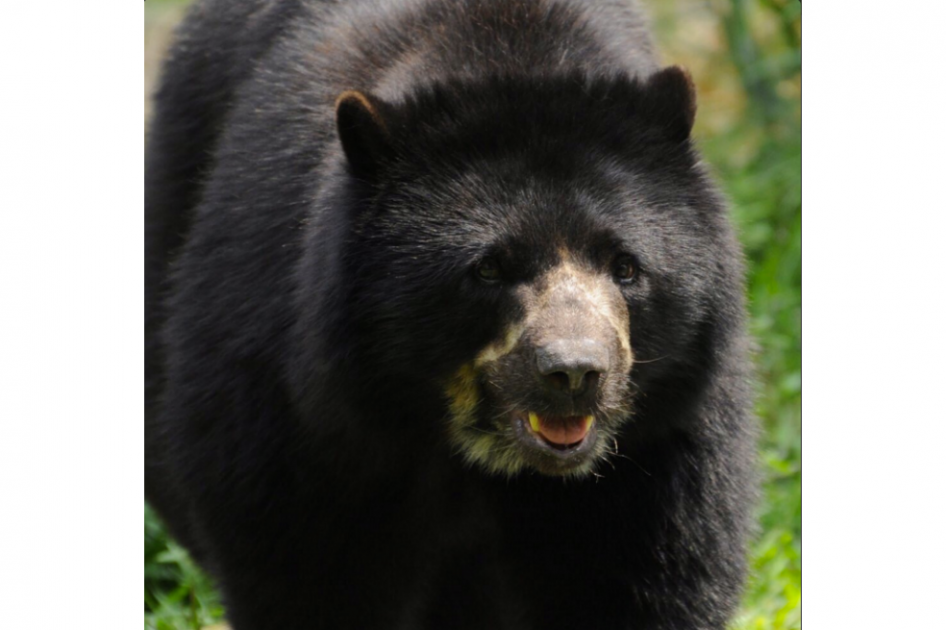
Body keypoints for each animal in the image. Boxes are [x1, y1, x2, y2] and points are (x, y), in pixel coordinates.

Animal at [145, 0, 757, 628]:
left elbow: (644, 573)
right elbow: (307, 566)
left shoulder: (659, 441)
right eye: (488, 269)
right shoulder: (299, 408)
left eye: (626, 266)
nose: (574, 374)